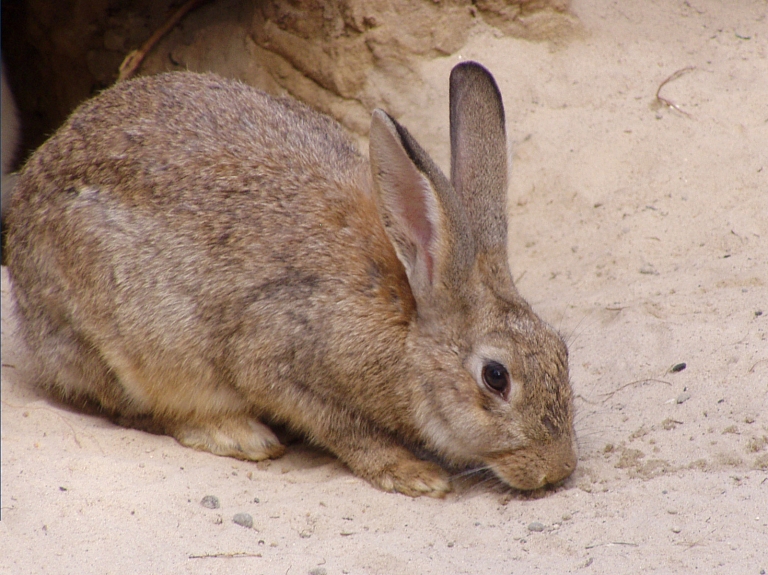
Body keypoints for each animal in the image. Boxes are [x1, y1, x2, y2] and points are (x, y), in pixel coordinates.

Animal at [7, 60, 576, 498]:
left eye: (562, 351)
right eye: (496, 377)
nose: (559, 469)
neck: (408, 319)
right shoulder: (275, 360)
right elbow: (342, 427)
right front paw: (413, 475)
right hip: (119, 340)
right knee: (137, 407)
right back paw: (237, 434)